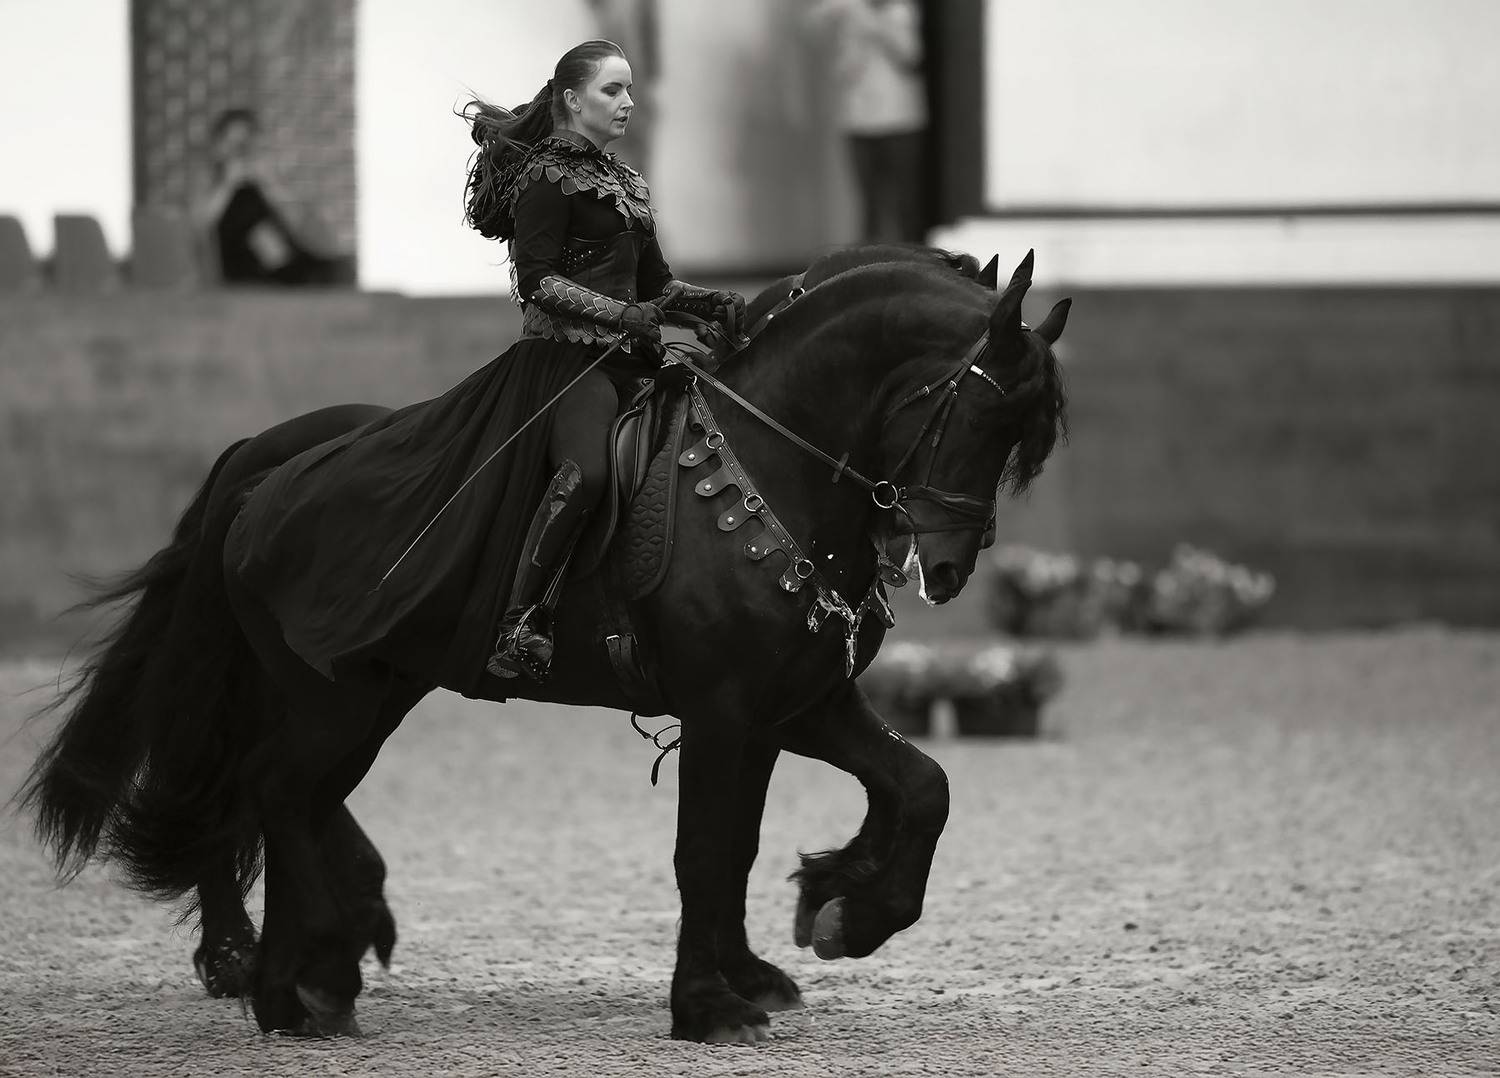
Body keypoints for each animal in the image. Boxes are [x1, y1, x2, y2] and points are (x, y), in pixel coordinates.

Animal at [22, 246, 1070, 1045]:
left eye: (1027, 435)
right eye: (979, 413)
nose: (947, 566)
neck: (768, 466)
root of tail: (270, 471)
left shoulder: (792, 704)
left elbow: (906, 791)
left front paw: (836, 914)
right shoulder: (724, 710)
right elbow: (705, 849)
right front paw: (708, 1007)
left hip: (368, 691)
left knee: (281, 797)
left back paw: (318, 959)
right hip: (335, 698)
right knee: (273, 791)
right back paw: (290, 989)